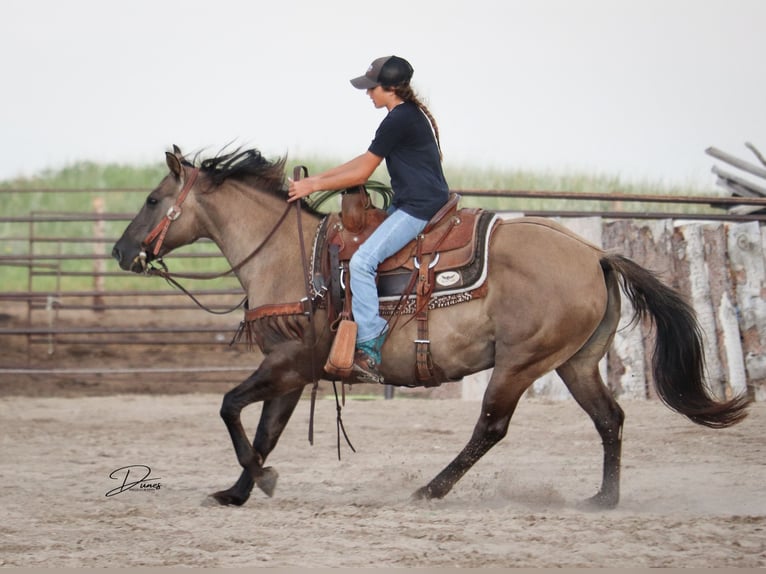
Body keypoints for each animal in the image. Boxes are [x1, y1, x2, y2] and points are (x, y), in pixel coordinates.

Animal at [112, 147, 752, 508]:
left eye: (152, 200)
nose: (121, 252)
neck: (286, 258)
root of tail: (595, 254)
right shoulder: (293, 371)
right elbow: (264, 429)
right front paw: (241, 490)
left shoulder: (288, 363)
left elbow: (229, 406)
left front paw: (259, 482)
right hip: (574, 362)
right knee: (609, 418)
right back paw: (603, 499)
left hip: (520, 363)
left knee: (491, 428)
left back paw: (430, 490)